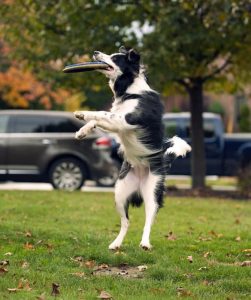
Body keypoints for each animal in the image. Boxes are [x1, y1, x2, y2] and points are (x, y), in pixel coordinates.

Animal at [73, 46, 191, 248]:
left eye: (115, 58)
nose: (95, 52)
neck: (130, 90)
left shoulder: (128, 120)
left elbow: (102, 113)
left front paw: (83, 113)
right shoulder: (118, 122)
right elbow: (100, 119)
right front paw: (82, 130)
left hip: (152, 192)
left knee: (148, 220)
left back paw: (145, 243)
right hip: (120, 194)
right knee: (126, 222)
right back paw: (116, 244)